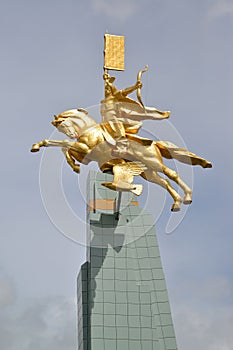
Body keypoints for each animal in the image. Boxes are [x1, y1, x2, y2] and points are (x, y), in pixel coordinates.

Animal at [31, 108, 213, 211]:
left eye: (62, 125)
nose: (72, 134)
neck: (88, 130)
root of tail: (154, 143)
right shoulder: (84, 154)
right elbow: (64, 147)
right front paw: (73, 165)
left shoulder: (86, 149)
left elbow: (63, 144)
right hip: (148, 172)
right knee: (164, 182)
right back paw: (176, 203)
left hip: (153, 162)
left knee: (172, 174)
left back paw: (188, 196)